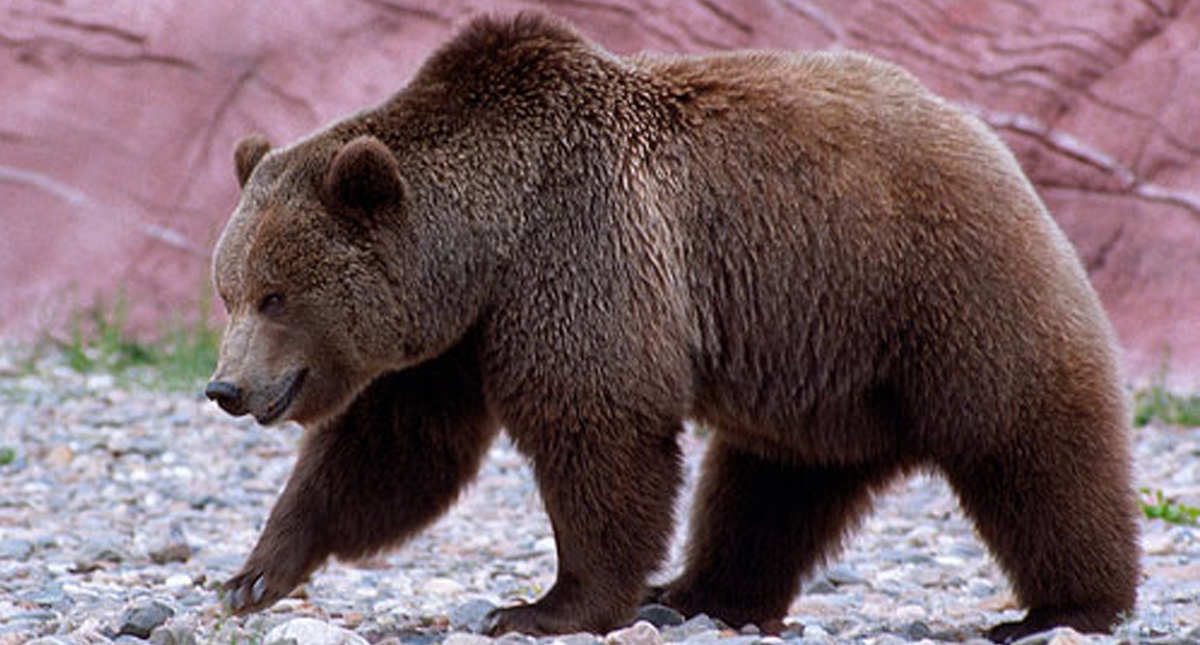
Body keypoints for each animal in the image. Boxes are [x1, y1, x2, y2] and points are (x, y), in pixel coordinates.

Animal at [205, 12, 1139, 643]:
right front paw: (253, 573)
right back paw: (701, 591)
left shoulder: (579, 249)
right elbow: (394, 449)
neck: (487, 243)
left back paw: (1065, 605)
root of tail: (983, 134)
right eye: (230, 289)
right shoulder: (459, 334)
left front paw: (543, 605)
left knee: (1026, 437)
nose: (226, 387)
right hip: (821, 359)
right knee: (772, 484)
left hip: (932, 284)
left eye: (276, 294)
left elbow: (598, 427)